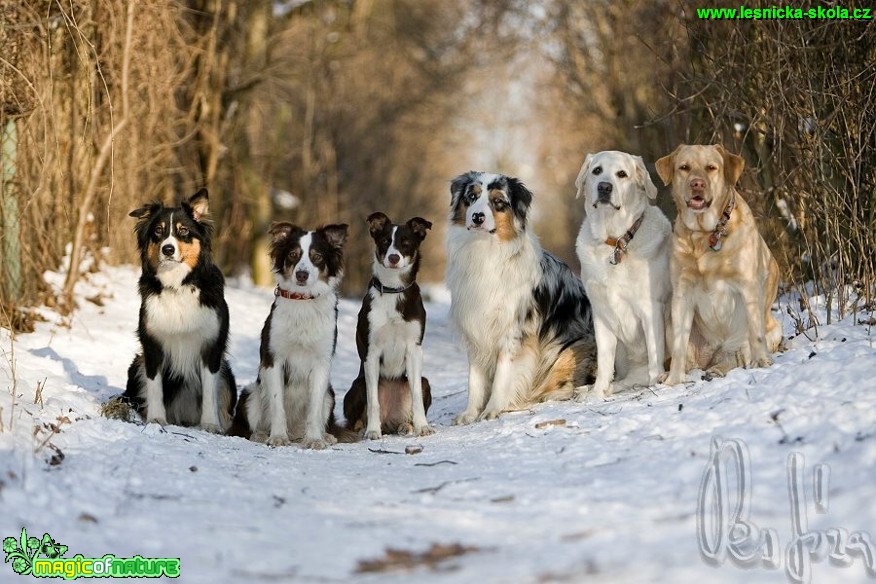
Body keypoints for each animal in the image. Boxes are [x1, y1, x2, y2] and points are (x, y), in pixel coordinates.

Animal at [123, 189, 238, 432]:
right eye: (158, 231)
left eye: (183, 230)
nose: (168, 249)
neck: (178, 285)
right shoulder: (152, 346)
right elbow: (155, 387)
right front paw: (156, 419)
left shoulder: (211, 347)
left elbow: (209, 393)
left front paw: (210, 424)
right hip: (137, 364)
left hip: (227, 375)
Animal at [233, 221, 356, 450]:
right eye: (293, 254)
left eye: (317, 256)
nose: (301, 275)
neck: (303, 301)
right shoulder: (273, 360)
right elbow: (277, 404)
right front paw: (278, 437)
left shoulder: (321, 362)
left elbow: (314, 409)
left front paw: (315, 439)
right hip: (251, 392)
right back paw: (261, 435)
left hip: (330, 395)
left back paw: (323, 436)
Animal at [444, 171, 596, 422]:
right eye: (472, 197)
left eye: (498, 201)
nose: (477, 217)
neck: (486, 253)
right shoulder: (476, 329)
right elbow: (474, 380)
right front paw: (471, 413)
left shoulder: (513, 330)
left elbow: (503, 374)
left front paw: (492, 410)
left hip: (572, 347)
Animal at [576, 149, 672, 402]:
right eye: (596, 170)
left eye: (622, 174)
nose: (604, 187)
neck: (615, 241)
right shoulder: (601, 313)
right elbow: (604, 361)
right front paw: (597, 392)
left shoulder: (651, 308)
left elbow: (655, 352)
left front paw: (656, 385)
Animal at [652, 144, 784, 386]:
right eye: (684, 167)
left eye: (711, 168)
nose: (697, 183)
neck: (705, 234)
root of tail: (714, 354)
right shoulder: (682, 293)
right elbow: (678, 347)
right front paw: (674, 380)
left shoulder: (749, 286)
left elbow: (756, 334)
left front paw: (762, 362)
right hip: (670, 318)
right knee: (688, 357)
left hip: (768, 330)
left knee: (737, 357)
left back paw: (719, 370)